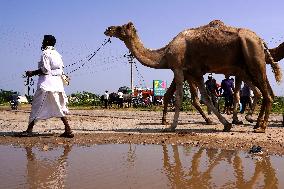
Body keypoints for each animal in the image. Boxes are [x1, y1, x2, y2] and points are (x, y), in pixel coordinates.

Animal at [105, 20, 282, 132]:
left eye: (121, 27)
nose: (108, 29)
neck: (165, 53)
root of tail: (260, 40)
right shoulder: (193, 72)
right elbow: (203, 97)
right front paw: (224, 124)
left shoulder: (178, 68)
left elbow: (179, 97)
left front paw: (171, 127)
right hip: (249, 66)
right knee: (264, 92)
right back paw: (256, 124)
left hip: (253, 60)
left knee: (266, 94)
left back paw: (260, 127)